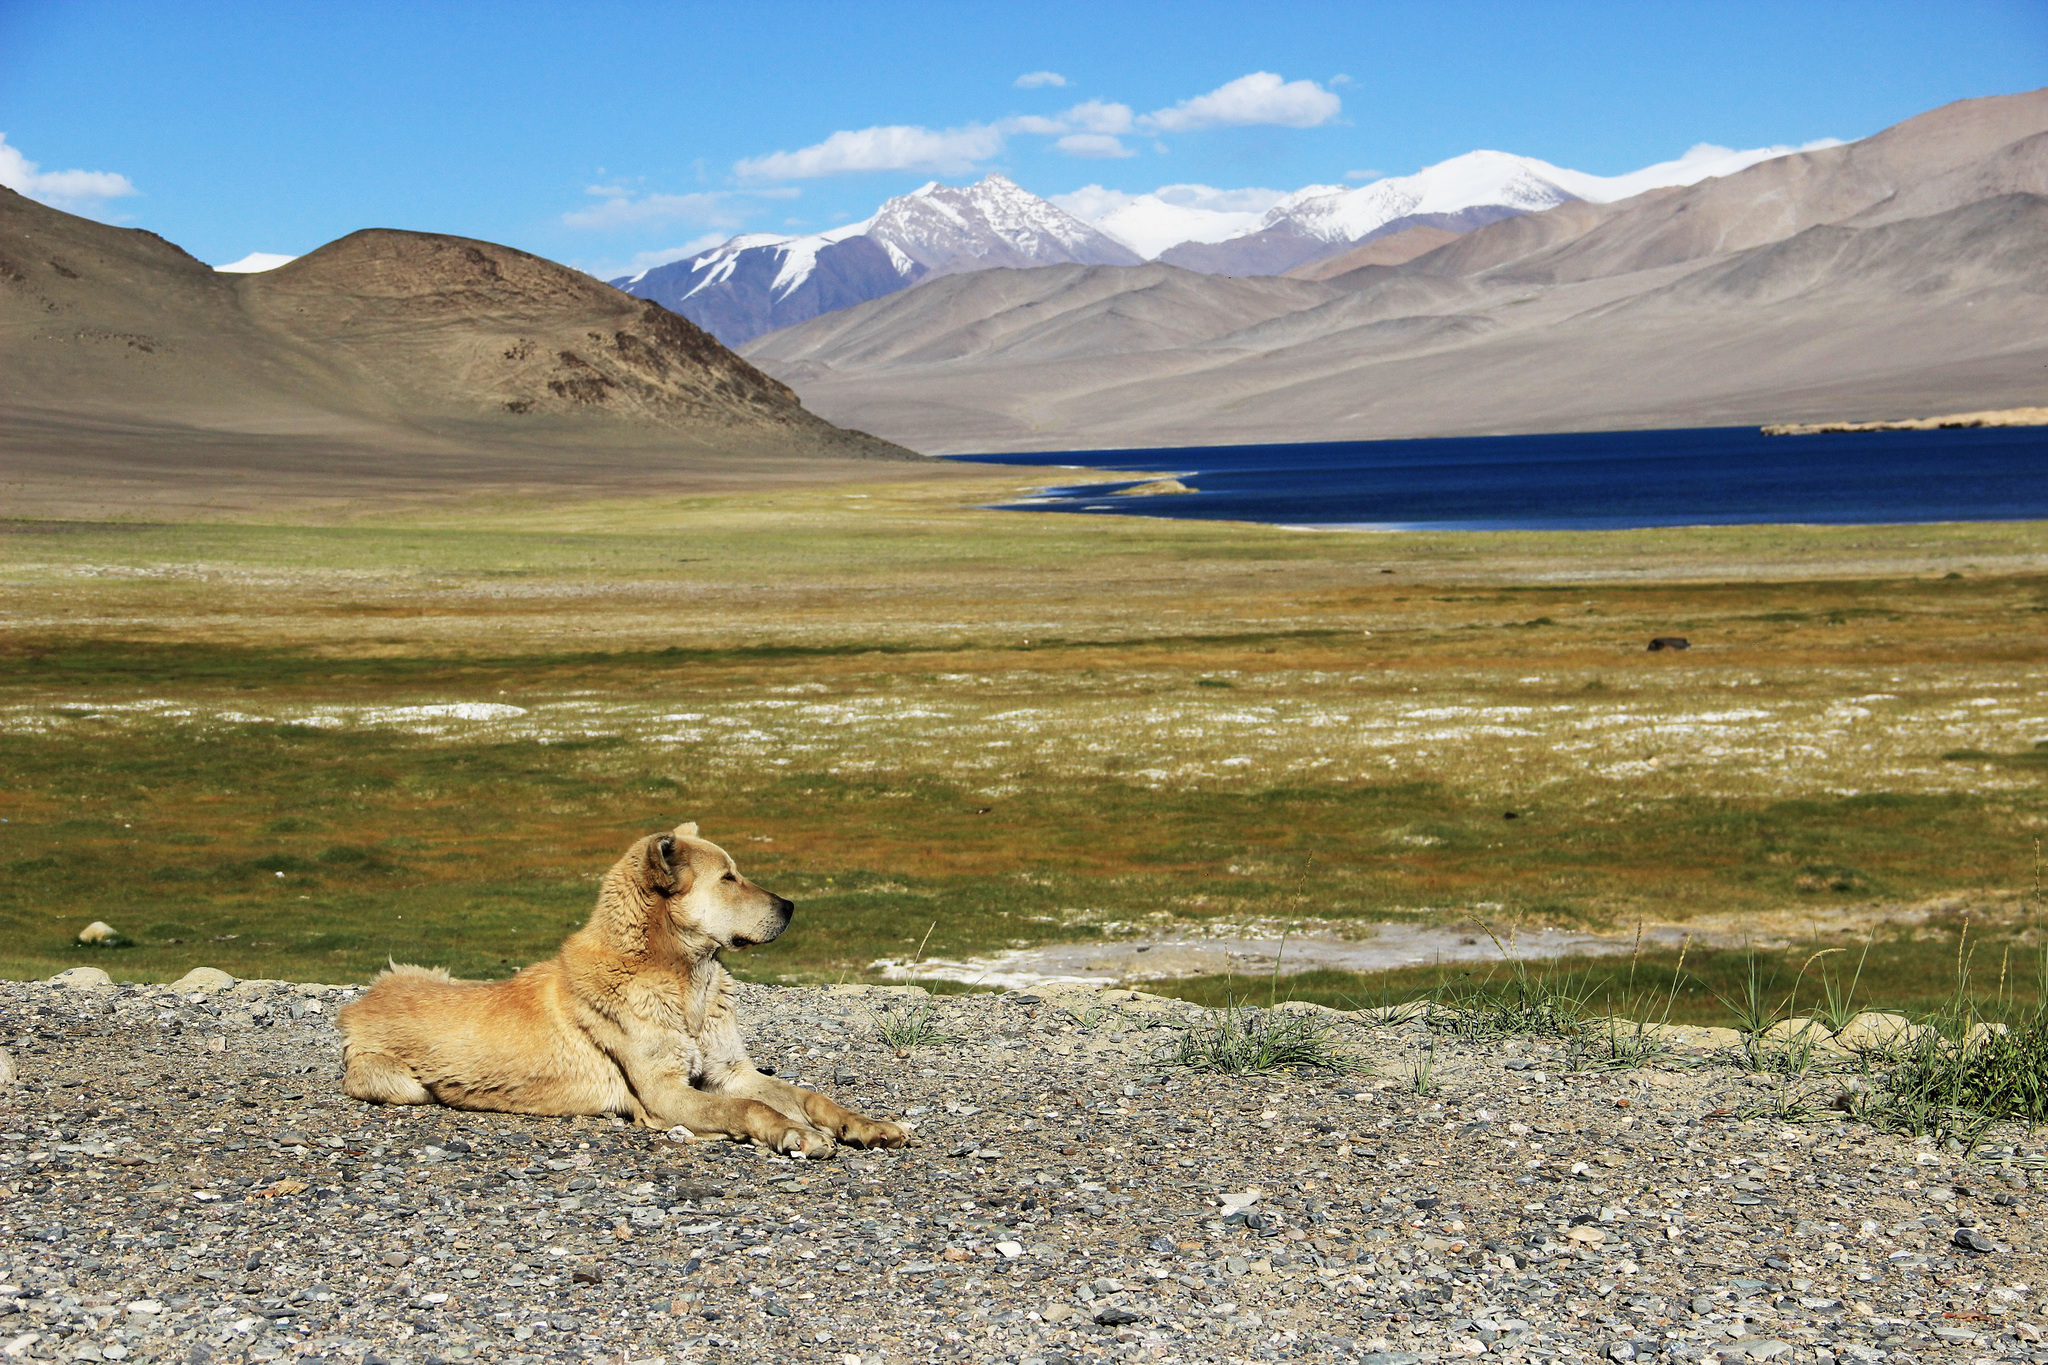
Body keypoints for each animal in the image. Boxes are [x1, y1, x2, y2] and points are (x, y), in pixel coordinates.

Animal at [335, 818, 905, 1162]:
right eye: (728, 879)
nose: (790, 907)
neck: (684, 983)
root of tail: (359, 1004)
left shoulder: (730, 1072)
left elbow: (808, 1095)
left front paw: (864, 1124)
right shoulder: (664, 1093)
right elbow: (748, 1109)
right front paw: (796, 1134)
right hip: (400, 1083)